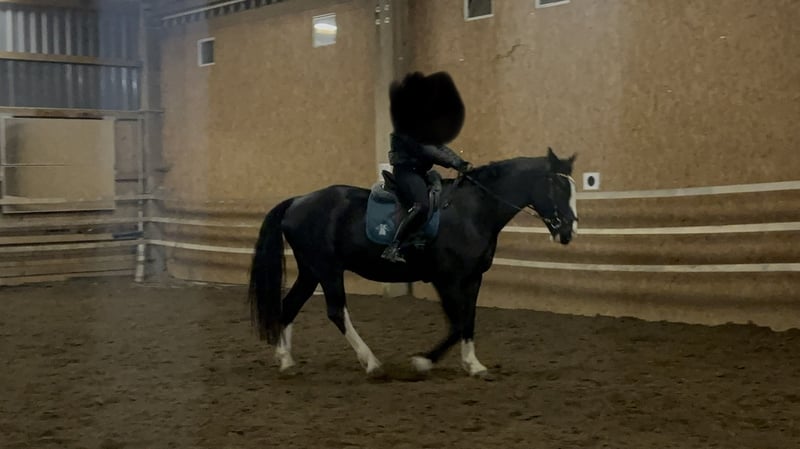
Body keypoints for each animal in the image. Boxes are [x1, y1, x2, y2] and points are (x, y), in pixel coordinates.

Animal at [248, 147, 577, 378]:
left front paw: (473, 364)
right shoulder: (446, 278)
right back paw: (372, 363)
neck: (472, 210)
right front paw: (422, 362)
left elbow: (468, 319)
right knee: (336, 312)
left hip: (311, 270)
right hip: (328, 270)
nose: (569, 231)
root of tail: (297, 201)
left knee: (289, 306)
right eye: (559, 187)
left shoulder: (473, 278)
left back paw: (286, 361)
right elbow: (457, 322)